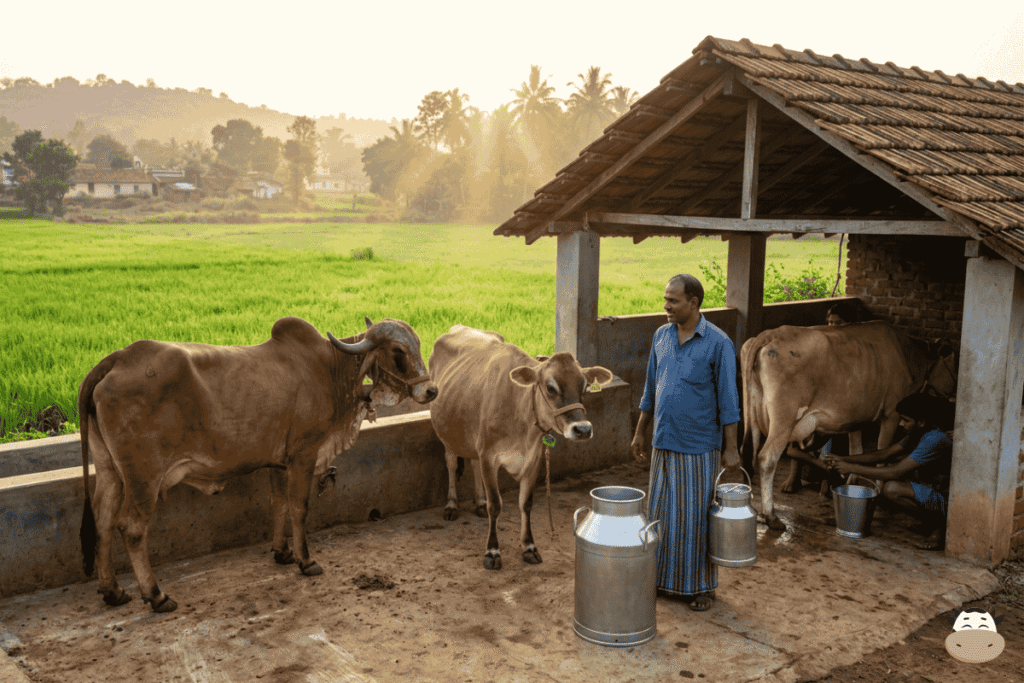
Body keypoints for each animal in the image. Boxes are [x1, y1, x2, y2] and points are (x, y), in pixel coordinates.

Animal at [79, 316, 436, 612]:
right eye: (397, 350)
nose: (431, 390)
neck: (330, 368)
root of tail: (117, 359)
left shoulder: (277, 463)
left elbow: (278, 503)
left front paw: (282, 552)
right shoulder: (304, 454)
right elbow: (299, 507)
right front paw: (306, 560)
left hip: (110, 471)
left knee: (103, 520)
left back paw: (112, 591)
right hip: (144, 477)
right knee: (132, 527)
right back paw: (155, 595)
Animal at [428, 325, 613, 570]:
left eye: (585, 387)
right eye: (550, 387)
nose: (582, 429)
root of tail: (458, 327)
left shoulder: (533, 459)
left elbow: (526, 503)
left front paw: (529, 547)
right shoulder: (489, 456)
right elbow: (495, 505)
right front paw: (492, 552)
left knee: (473, 464)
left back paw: (479, 502)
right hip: (447, 433)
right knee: (450, 463)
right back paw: (451, 505)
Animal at [741, 321, 957, 530]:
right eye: (955, 362)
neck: (907, 355)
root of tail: (771, 333)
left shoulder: (855, 417)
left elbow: (856, 449)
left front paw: (851, 482)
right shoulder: (892, 413)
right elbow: (882, 452)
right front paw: (879, 494)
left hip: (752, 411)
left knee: (749, 450)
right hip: (784, 417)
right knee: (767, 457)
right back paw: (772, 516)